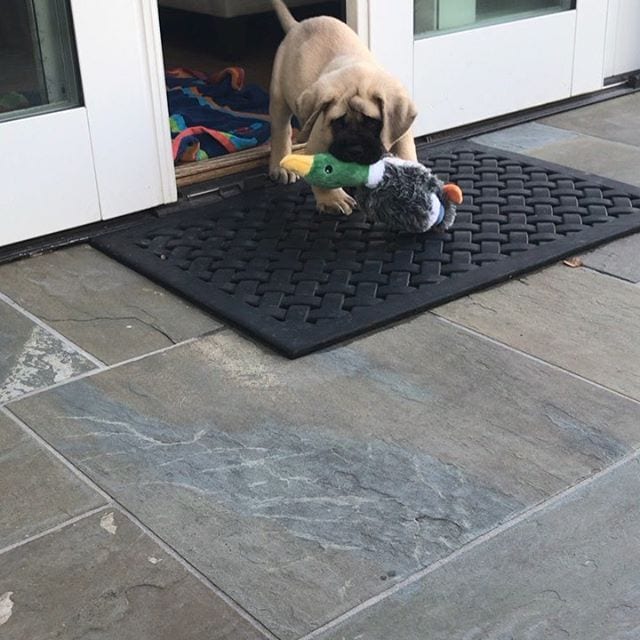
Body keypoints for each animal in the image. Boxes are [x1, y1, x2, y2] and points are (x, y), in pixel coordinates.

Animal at [268, 0, 418, 215]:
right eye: (338, 123)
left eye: (373, 124)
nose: (354, 149)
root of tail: (298, 25)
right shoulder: (318, 141)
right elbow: (322, 176)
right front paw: (333, 199)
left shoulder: (400, 132)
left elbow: (405, 152)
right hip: (279, 97)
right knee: (280, 130)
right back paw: (282, 166)